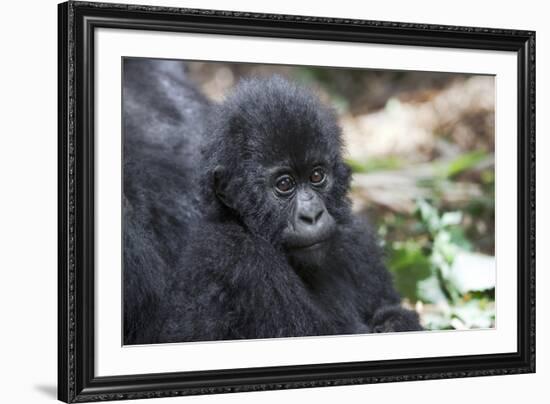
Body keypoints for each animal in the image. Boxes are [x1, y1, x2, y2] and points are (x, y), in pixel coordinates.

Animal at [157, 75, 424, 340]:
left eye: (316, 176)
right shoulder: (236, 257)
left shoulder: (357, 238)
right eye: (285, 184)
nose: (312, 215)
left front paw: (395, 320)